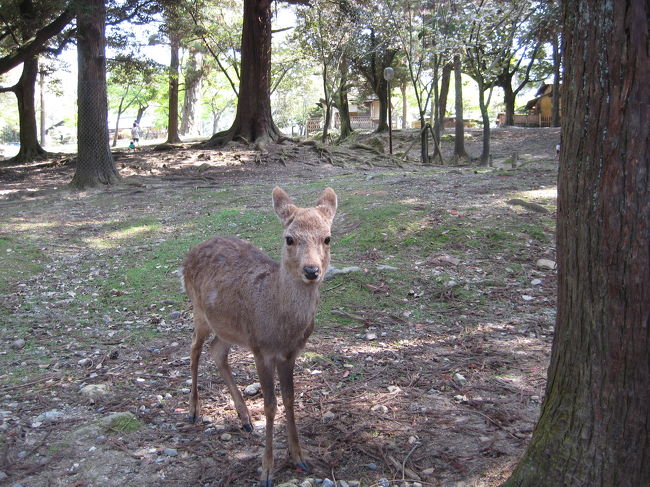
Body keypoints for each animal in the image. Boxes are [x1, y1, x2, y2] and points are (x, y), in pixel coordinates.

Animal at [182, 186, 337, 487]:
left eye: (327, 238)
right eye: (289, 238)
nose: (311, 270)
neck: (282, 327)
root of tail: (190, 252)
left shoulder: (290, 353)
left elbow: (289, 399)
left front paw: (299, 456)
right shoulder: (261, 350)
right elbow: (269, 405)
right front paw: (266, 470)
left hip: (229, 327)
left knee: (216, 351)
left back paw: (243, 417)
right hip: (199, 310)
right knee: (194, 348)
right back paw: (194, 410)